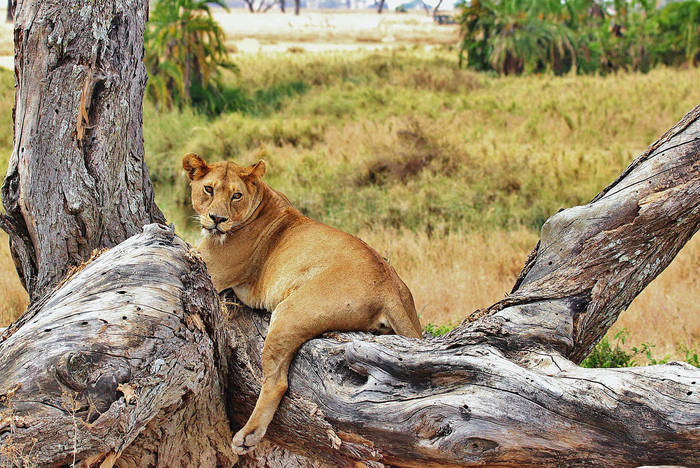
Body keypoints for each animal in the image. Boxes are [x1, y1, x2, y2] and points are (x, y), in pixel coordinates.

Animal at [182, 153, 422, 455]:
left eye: (236, 195)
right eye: (209, 189)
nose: (217, 219)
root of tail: (388, 283)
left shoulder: (210, 268)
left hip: (289, 312)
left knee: (277, 382)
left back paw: (248, 436)